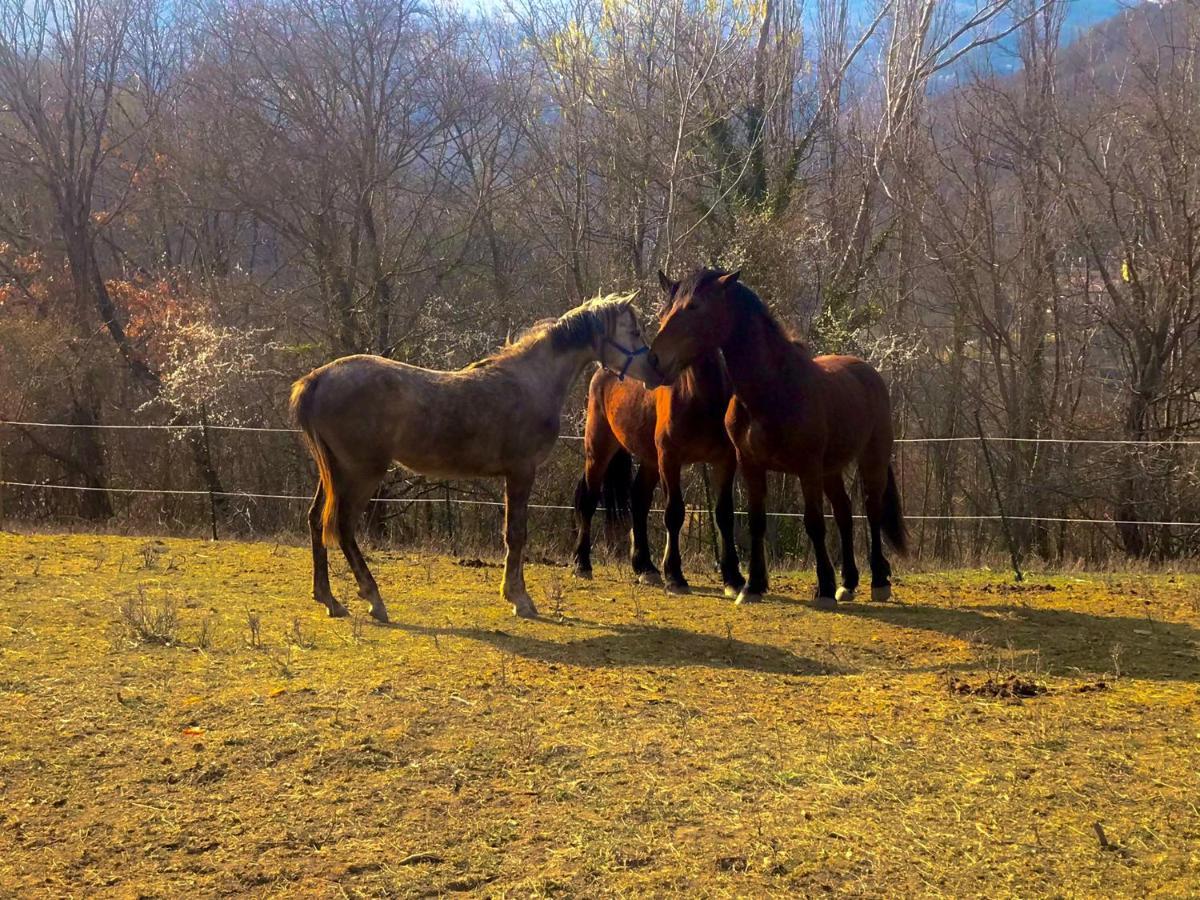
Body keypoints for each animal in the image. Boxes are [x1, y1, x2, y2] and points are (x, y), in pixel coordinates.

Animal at [289, 296, 657, 619]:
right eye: (635, 331)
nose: (656, 370)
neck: (531, 381)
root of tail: (317, 379)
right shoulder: (521, 471)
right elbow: (516, 533)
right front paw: (519, 599)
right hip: (362, 473)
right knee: (343, 526)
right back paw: (374, 599)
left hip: (334, 472)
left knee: (315, 520)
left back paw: (330, 600)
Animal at [568, 348, 744, 595]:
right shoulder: (669, 459)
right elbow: (674, 513)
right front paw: (675, 577)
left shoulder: (725, 461)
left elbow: (725, 514)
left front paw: (734, 579)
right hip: (599, 448)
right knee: (588, 499)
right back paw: (582, 564)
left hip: (649, 459)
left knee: (639, 500)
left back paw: (645, 568)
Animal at [643, 267, 902, 607]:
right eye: (665, 311)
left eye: (694, 306)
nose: (655, 359)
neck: (773, 390)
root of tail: (868, 372)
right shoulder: (751, 465)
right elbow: (757, 521)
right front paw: (752, 586)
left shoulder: (807, 469)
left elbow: (814, 523)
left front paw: (823, 589)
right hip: (831, 470)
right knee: (844, 513)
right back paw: (848, 583)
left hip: (871, 458)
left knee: (872, 511)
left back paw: (879, 581)